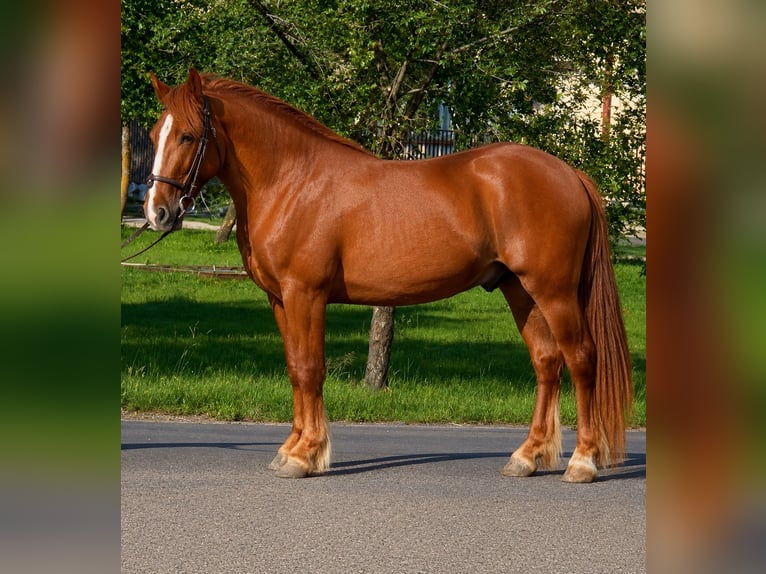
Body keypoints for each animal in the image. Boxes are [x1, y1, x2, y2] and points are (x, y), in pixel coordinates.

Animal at [143, 68, 632, 482]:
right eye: (153, 134)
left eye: (187, 135)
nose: (156, 212)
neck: (292, 180)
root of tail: (568, 173)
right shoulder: (279, 298)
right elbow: (294, 368)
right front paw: (291, 449)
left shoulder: (306, 294)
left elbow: (310, 369)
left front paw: (306, 456)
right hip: (519, 289)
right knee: (547, 362)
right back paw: (527, 457)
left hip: (554, 291)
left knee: (582, 359)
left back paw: (583, 462)